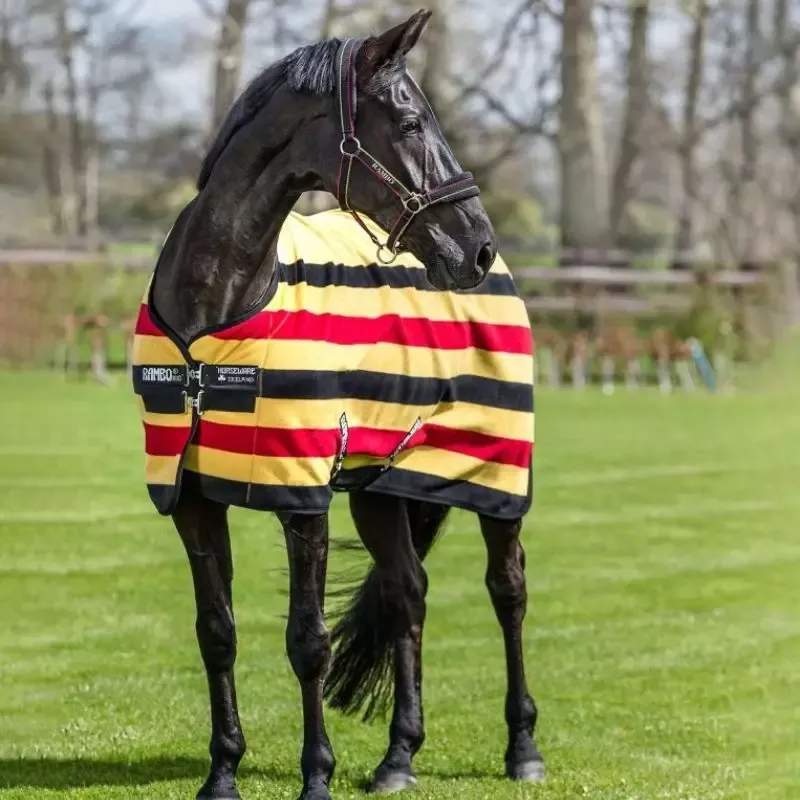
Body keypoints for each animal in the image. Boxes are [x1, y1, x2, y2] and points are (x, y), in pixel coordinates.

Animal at [130, 12, 542, 800]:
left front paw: (315, 775)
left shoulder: (303, 500)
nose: (476, 246)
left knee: (507, 590)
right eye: (409, 120)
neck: (216, 311)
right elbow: (217, 631)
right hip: (381, 486)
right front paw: (222, 772)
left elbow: (308, 640)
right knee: (408, 591)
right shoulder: (192, 496)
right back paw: (398, 758)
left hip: (497, 475)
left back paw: (523, 747)